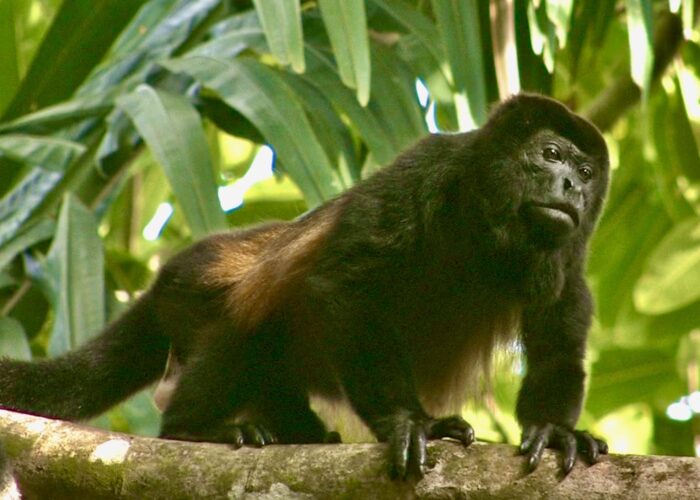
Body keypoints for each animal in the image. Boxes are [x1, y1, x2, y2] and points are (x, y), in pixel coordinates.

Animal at [0, 94, 608, 480]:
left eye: (586, 172)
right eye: (551, 154)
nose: (571, 187)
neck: (489, 223)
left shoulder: (570, 260)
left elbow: (556, 347)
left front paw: (555, 430)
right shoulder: (428, 167)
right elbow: (346, 281)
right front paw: (412, 422)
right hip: (193, 292)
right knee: (244, 329)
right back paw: (195, 429)